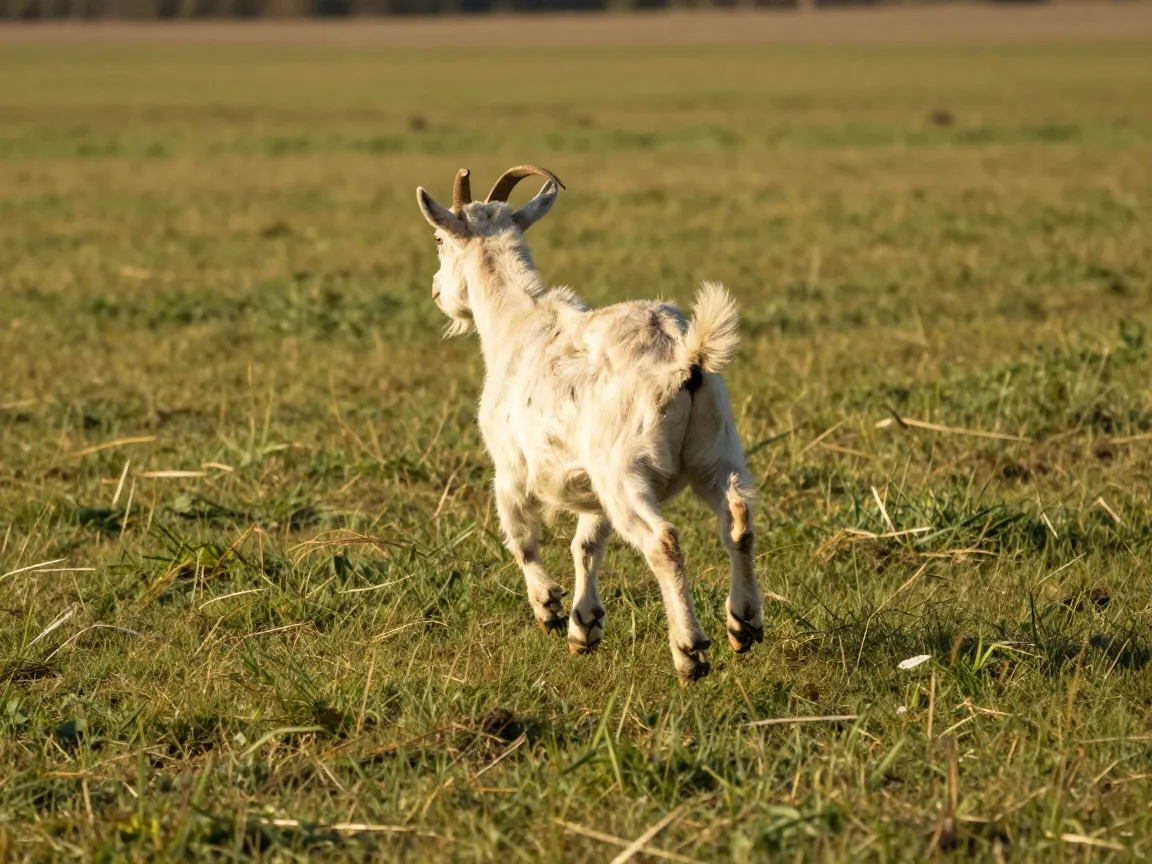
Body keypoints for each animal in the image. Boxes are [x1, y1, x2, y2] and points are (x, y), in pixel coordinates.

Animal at [415, 165, 763, 683]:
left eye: (439, 238)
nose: (438, 291)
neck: (515, 324)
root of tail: (683, 361)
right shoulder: (588, 482)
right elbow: (587, 544)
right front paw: (585, 625)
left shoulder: (511, 468)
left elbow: (520, 538)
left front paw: (550, 609)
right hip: (717, 452)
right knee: (737, 519)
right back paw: (743, 624)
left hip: (625, 470)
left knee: (663, 541)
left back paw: (689, 650)